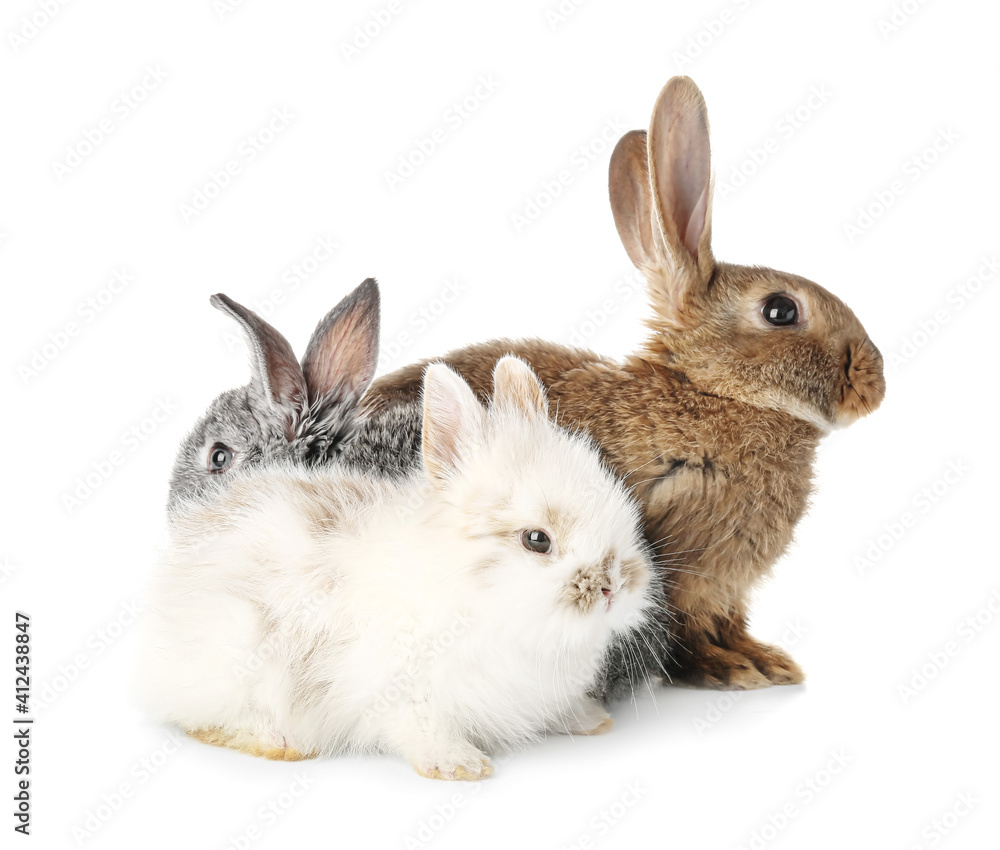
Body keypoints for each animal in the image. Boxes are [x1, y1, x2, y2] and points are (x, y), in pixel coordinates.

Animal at [137, 357, 658, 780]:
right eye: (537, 540)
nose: (614, 586)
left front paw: (590, 720)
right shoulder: (402, 689)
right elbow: (419, 728)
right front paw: (459, 766)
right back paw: (280, 742)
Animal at [364, 76, 886, 691]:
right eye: (780, 311)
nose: (875, 383)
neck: (714, 395)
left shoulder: (724, 586)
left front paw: (766, 659)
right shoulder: (689, 574)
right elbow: (690, 631)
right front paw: (736, 668)